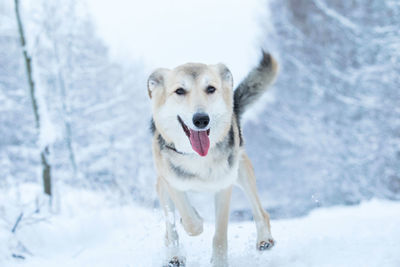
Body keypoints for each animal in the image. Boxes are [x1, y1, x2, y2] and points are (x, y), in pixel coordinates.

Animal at [147, 51, 278, 266]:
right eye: (180, 91)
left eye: (210, 89)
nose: (201, 119)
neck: (197, 157)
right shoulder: (172, 183)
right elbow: (189, 222)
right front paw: (193, 222)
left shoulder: (224, 187)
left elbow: (220, 236)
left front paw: (219, 261)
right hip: (162, 185)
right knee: (170, 226)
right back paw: (174, 254)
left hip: (242, 171)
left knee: (261, 212)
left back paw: (264, 239)